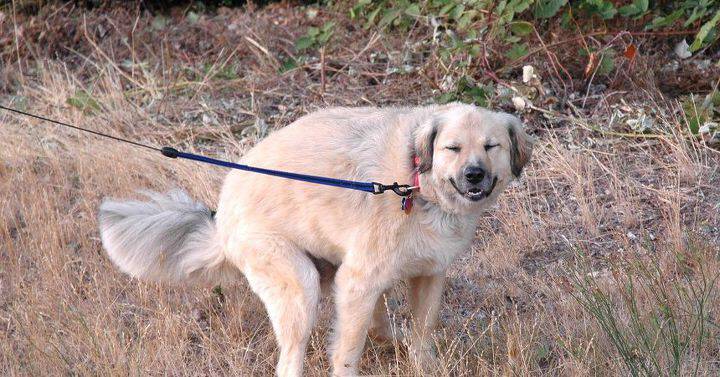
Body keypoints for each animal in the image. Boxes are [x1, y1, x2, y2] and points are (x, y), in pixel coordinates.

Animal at [98, 101, 532, 374]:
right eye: (452, 148)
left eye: (490, 146)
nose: (474, 175)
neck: (414, 181)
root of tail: (220, 219)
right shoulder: (358, 281)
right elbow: (346, 353)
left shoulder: (428, 276)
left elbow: (422, 334)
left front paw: (421, 364)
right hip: (300, 285)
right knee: (291, 360)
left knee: (376, 322)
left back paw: (390, 339)